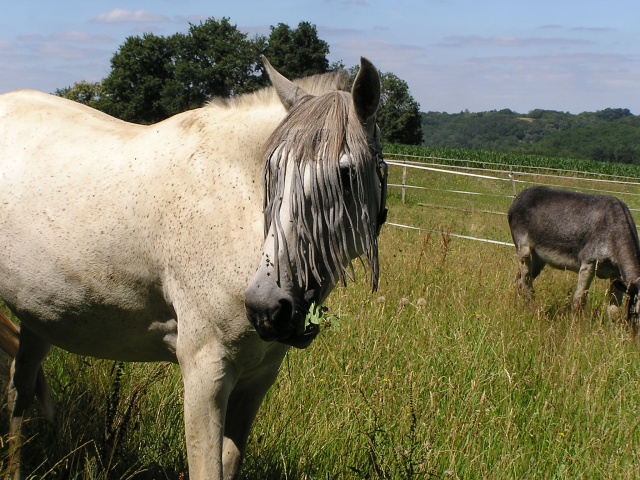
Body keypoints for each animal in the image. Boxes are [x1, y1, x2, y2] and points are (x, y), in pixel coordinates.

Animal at [0, 57, 384, 480]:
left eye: (347, 175)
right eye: (271, 170)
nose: (266, 306)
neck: (236, 208)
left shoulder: (256, 380)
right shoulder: (205, 373)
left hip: (39, 316)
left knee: (20, 391)